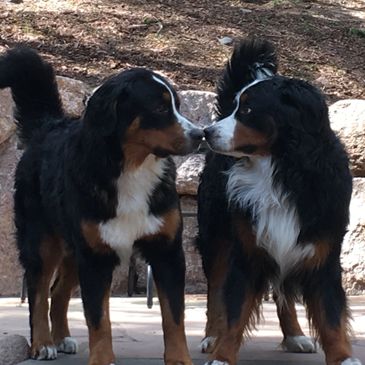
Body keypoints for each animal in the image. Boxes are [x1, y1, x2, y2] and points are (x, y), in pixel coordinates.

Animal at [0, 47, 202, 364]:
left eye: (178, 105)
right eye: (159, 108)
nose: (200, 134)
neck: (131, 170)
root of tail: (48, 126)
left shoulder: (166, 251)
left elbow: (174, 316)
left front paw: (180, 359)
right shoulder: (96, 257)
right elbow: (98, 320)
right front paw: (102, 358)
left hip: (74, 249)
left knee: (58, 292)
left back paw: (62, 338)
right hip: (42, 243)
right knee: (39, 292)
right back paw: (43, 343)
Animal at [196, 37, 362, 364]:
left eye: (247, 109)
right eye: (237, 106)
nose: (207, 132)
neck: (280, 172)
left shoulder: (321, 251)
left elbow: (331, 317)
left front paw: (343, 357)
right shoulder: (247, 250)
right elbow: (233, 311)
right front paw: (222, 354)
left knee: (282, 292)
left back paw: (295, 335)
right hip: (217, 235)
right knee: (215, 290)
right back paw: (211, 335)